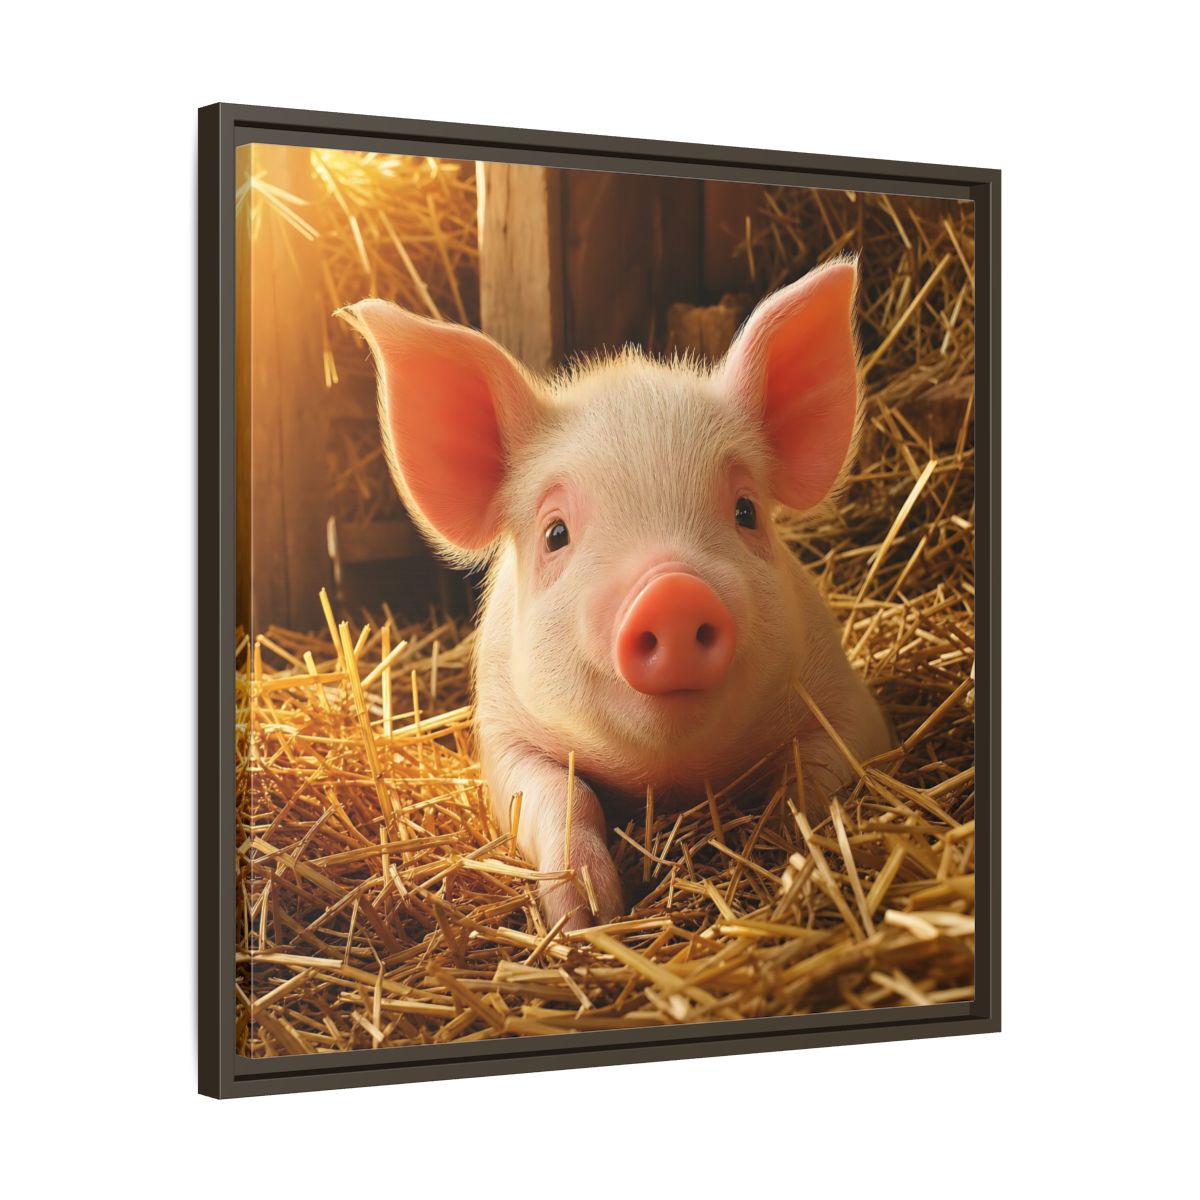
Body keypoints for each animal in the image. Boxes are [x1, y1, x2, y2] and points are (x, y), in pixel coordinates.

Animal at [340, 257, 892, 932]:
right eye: (555, 533)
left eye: (746, 511)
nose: (672, 592)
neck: (670, 778)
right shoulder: (501, 733)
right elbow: (562, 795)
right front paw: (587, 918)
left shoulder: (847, 702)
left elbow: (813, 774)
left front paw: (793, 853)